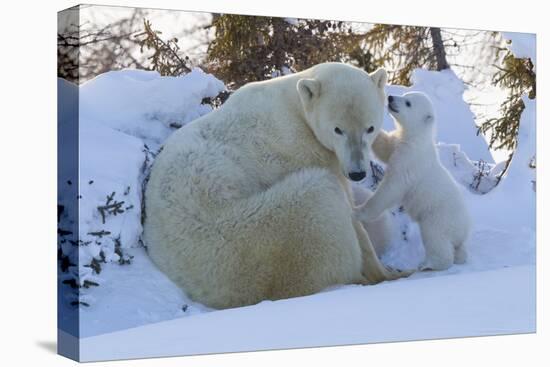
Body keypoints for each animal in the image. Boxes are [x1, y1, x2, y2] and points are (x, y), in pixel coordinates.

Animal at [144, 63, 412, 310]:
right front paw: (386, 270)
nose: (357, 173)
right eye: (338, 129)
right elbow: (351, 212)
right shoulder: (303, 150)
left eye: (370, 128)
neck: (295, 106)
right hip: (263, 229)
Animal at [360, 92, 472, 270]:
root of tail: (464, 230)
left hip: (438, 217)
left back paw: (428, 265)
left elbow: (391, 188)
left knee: (435, 239)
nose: (391, 98)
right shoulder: (399, 144)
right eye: (404, 95)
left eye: (408, 103)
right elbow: (385, 147)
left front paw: (359, 212)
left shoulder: (409, 160)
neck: (417, 139)